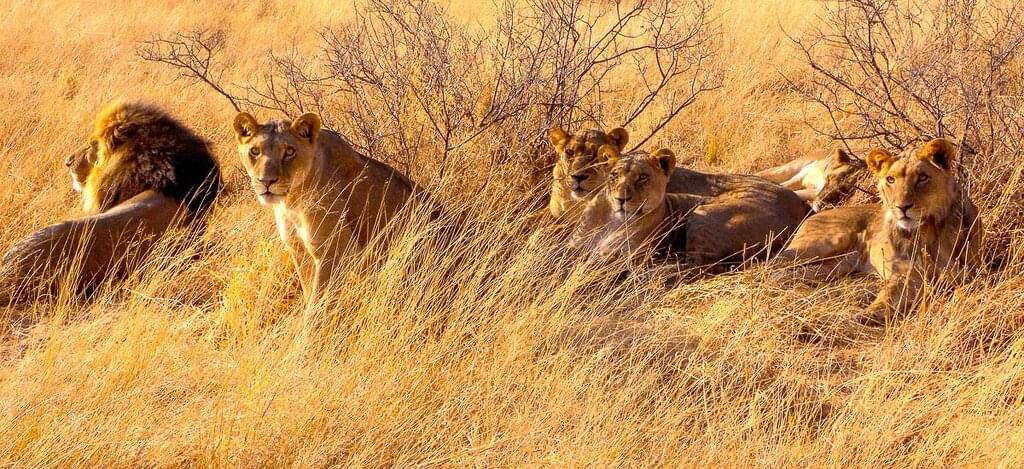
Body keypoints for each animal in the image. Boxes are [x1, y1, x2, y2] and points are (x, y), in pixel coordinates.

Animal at [233, 112, 429, 304]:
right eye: (255, 151)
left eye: (289, 152)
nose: (266, 181)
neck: (292, 201)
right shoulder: (298, 250)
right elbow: (308, 293)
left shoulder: (334, 252)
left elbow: (318, 304)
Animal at [573, 146, 809, 270]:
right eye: (614, 176)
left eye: (642, 177)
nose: (621, 199)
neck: (611, 221)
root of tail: (801, 205)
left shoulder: (624, 257)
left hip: (703, 214)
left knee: (694, 267)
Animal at [775, 138, 982, 324]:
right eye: (890, 179)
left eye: (922, 178)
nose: (902, 207)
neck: (928, 231)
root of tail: (814, 213)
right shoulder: (906, 274)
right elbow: (888, 296)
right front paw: (864, 315)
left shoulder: (967, 275)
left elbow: (964, 291)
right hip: (825, 243)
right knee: (775, 262)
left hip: (835, 266)